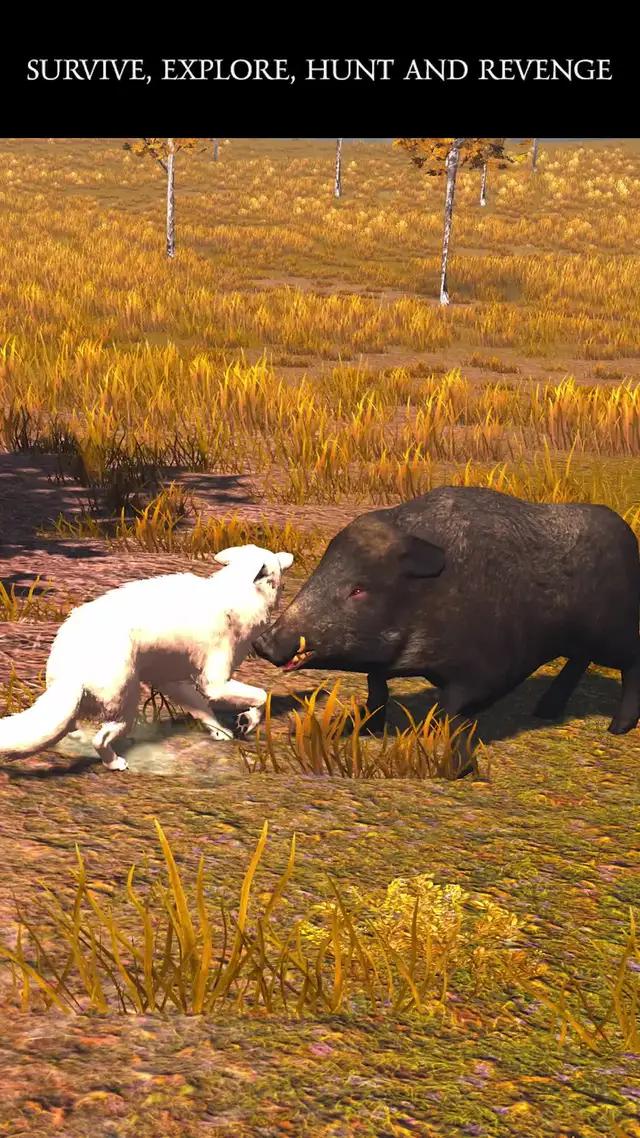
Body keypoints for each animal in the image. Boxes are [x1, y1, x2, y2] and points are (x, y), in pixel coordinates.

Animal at [0, 545, 294, 771]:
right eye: (278, 563)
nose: (290, 555)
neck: (234, 593)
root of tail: (71, 665)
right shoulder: (215, 682)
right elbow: (261, 695)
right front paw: (248, 721)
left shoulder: (173, 682)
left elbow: (203, 710)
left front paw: (222, 732)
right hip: (125, 704)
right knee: (100, 739)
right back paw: (115, 763)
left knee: (70, 725)